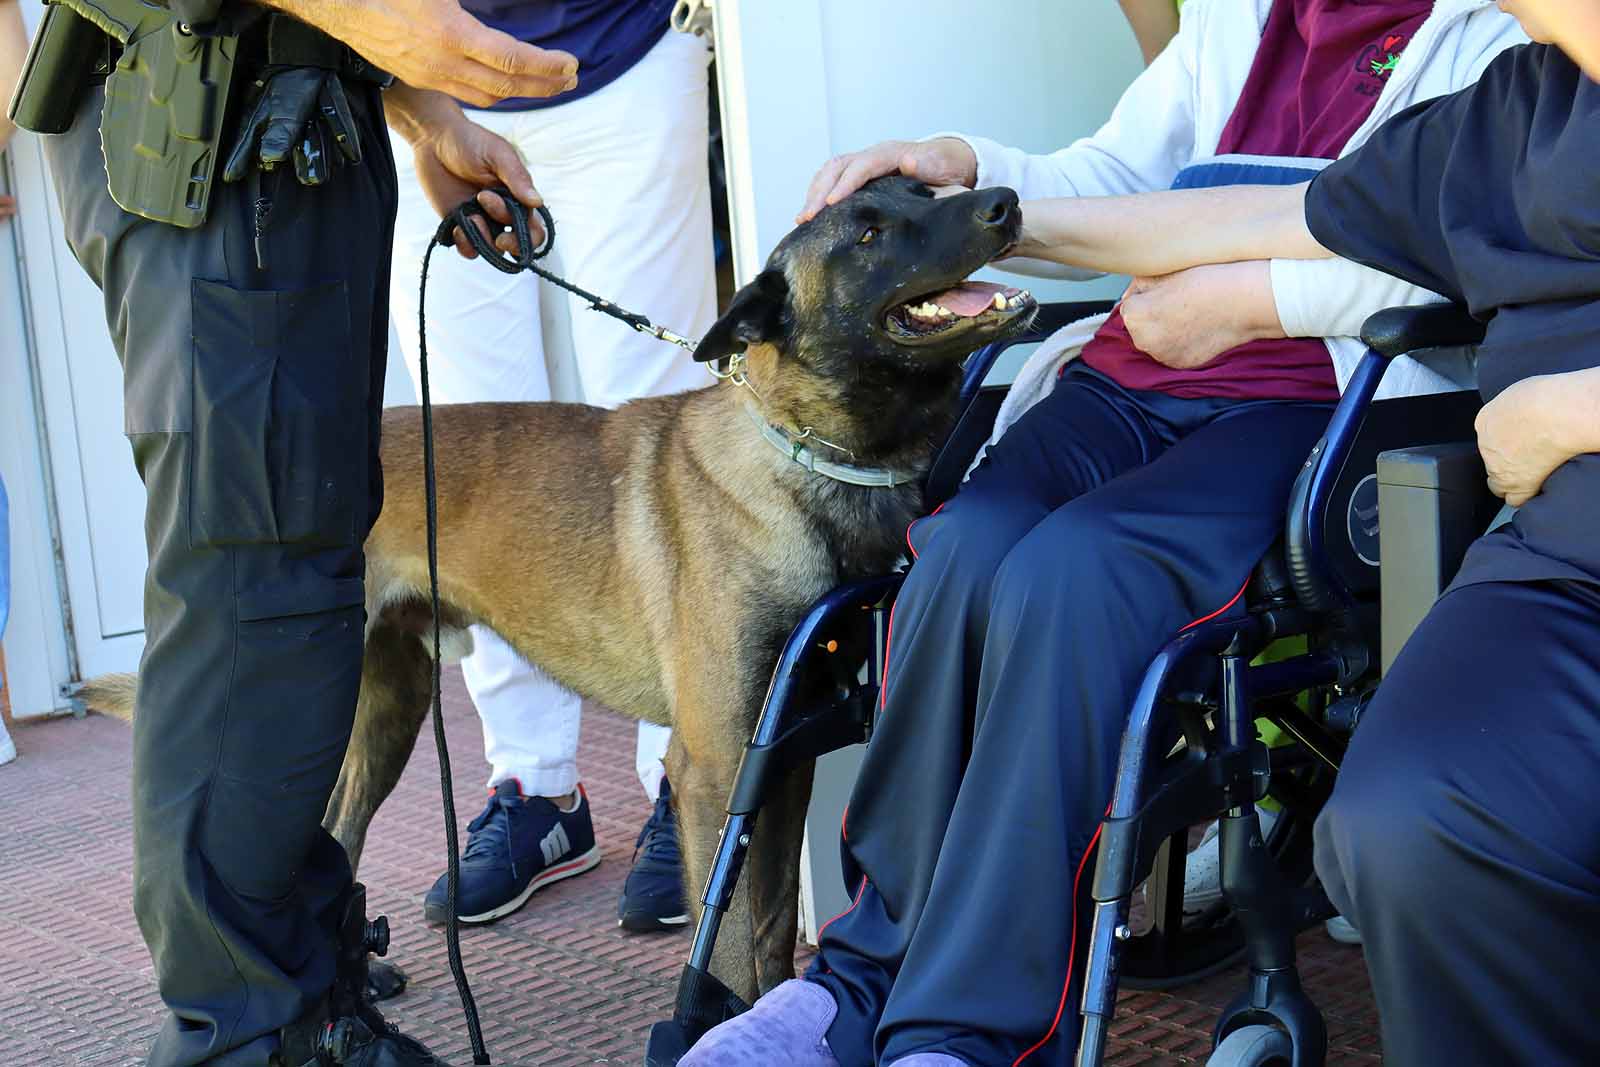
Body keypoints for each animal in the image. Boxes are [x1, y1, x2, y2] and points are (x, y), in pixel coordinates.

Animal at [90, 179, 1036, 1004]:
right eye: (868, 232)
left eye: (926, 190)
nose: (1004, 200)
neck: (809, 462)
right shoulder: (718, 765)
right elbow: (729, 948)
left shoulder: (783, 754)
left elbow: (769, 929)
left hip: (389, 709)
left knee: (338, 827)